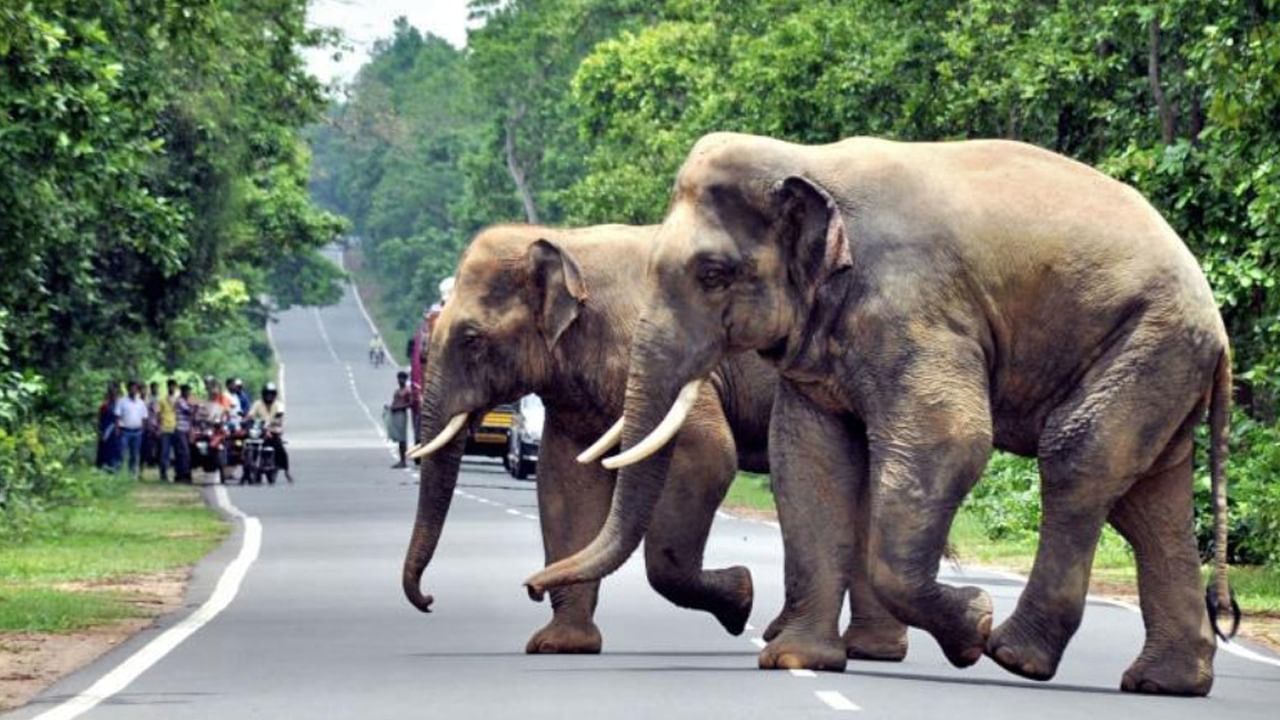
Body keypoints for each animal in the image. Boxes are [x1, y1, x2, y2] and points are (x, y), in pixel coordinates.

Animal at [399, 220, 911, 655]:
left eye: (471, 339)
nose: (429, 600)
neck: (567, 242)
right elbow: (565, 480)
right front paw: (560, 645)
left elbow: (707, 453)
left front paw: (741, 598)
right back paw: (857, 646)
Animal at [524, 134, 1233, 696]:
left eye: (714, 274)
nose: (530, 586)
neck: (808, 160)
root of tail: (1216, 321)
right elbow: (809, 456)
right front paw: (794, 660)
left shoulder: (914, 305)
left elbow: (952, 439)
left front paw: (973, 625)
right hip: (1158, 356)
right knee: (1147, 503)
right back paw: (1165, 684)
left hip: (1148, 341)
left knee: (1078, 461)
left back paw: (1015, 654)